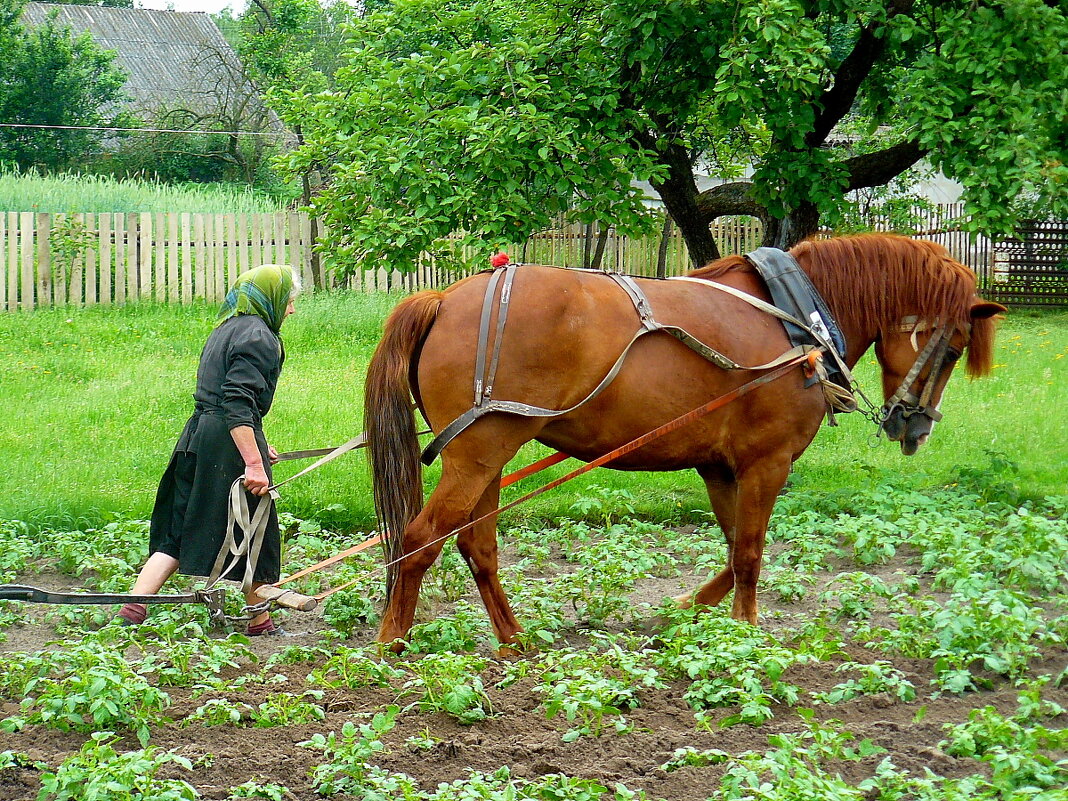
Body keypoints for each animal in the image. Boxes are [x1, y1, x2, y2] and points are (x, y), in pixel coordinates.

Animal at [363, 234, 1003, 649]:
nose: (915, 427)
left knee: (478, 546)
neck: (795, 324)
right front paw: (745, 635)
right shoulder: (765, 462)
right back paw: (392, 643)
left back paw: (514, 640)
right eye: (954, 346)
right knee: (417, 541)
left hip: (489, 454)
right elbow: (750, 551)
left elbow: (733, 546)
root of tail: (444, 299)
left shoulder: (720, 467)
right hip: (476, 454)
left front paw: (693, 609)